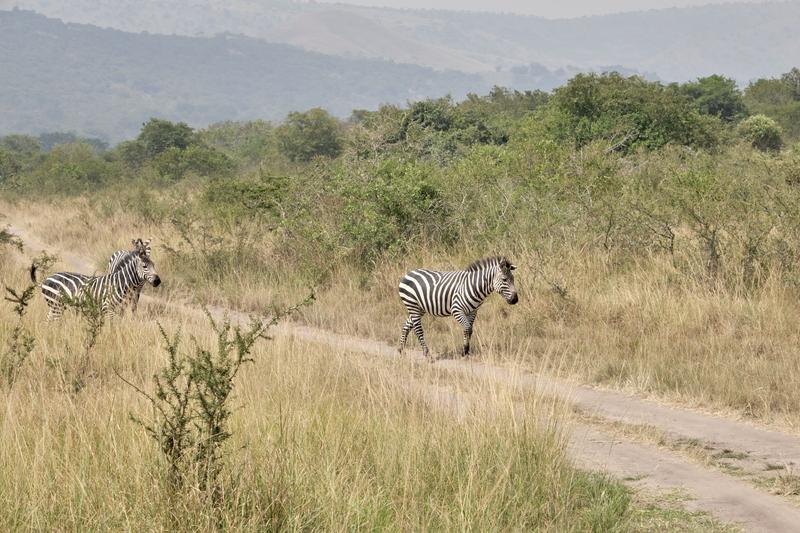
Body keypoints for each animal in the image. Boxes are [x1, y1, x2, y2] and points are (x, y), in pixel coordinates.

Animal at [32, 245, 160, 320]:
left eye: (154, 265)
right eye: (144, 266)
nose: (158, 281)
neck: (119, 282)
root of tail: (46, 279)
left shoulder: (117, 308)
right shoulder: (107, 308)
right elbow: (111, 328)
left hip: (56, 305)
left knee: (49, 319)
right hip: (56, 304)